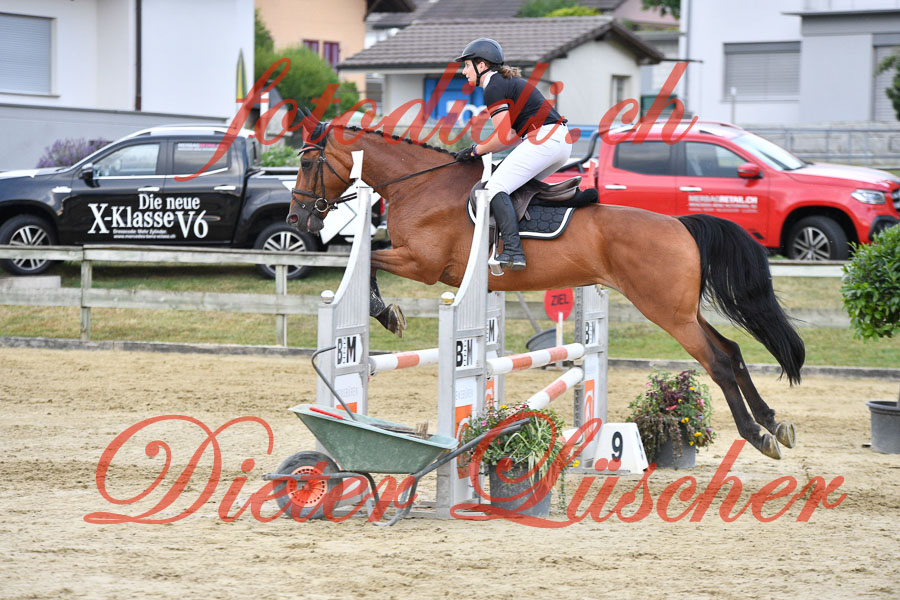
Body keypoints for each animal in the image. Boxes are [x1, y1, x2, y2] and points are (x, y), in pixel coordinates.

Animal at [286, 116, 805, 461]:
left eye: (309, 162)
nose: (297, 218)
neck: (420, 185)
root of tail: (680, 224)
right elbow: (368, 257)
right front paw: (387, 312)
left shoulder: (423, 263)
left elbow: (369, 258)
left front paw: (385, 312)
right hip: (680, 310)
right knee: (733, 350)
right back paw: (774, 423)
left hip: (666, 312)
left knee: (718, 360)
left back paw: (757, 435)